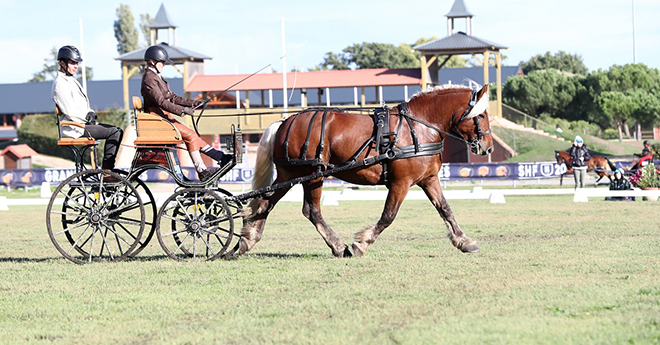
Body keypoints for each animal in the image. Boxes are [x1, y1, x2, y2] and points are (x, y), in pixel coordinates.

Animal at [240, 82, 492, 255]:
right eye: (480, 115)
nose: (488, 148)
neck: (418, 126)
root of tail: (285, 121)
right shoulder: (401, 183)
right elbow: (388, 215)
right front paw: (362, 242)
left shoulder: (428, 179)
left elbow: (445, 209)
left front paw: (464, 241)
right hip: (312, 175)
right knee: (312, 211)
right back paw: (338, 246)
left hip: (290, 174)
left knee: (265, 203)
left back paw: (247, 239)